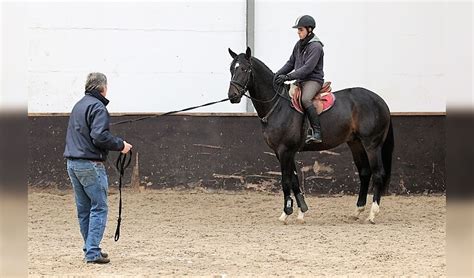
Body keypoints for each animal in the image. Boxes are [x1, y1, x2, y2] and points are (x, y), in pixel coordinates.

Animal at [226, 47, 392, 225]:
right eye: (231, 69)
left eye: (244, 69)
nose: (232, 96)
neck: (278, 106)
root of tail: (380, 101)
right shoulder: (284, 152)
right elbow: (294, 180)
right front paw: (301, 211)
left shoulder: (285, 151)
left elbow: (286, 180)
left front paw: (286, 212)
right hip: (356, 144)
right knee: (365, 173)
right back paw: (357, 211)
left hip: (372, 145)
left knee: (378, 174)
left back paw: (372, 214)